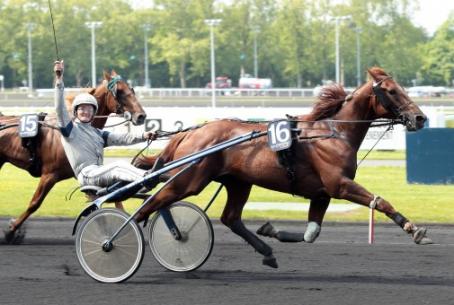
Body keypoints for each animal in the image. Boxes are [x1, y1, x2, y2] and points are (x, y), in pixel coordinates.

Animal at [0, 70, 145, 242]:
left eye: (132, 89)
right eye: (120, 92)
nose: (141, 116)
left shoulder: (83, 174)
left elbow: (108, 200)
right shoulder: (49, 175)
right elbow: (34, 203)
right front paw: (11, 230)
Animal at [134, 67, 430, 268]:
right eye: (392, 91)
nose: (420, 118)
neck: (333, 132)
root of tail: (192, 132)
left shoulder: (321, 193)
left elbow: (311, 233)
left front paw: (271, 230)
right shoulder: (339, 185)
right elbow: (380, 201)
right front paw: (414, 230)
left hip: (238, 182)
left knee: (231, 218)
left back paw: (266, 251)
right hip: (189, 180)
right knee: (153, 203)